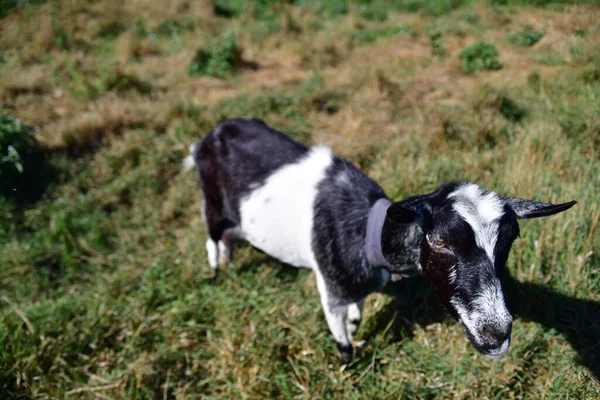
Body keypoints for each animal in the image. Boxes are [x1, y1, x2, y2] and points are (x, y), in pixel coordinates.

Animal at [184, 118, 576, 362]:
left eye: (509, 239)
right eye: (439, 241)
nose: (496, 335)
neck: (367, 235)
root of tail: (209, 135)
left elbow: (357, 316)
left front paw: (357, 325)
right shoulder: (331, 291)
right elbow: (342, 338)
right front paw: (347, 362)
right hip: (211, 202)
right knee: (211, 238)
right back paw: (217, 273)